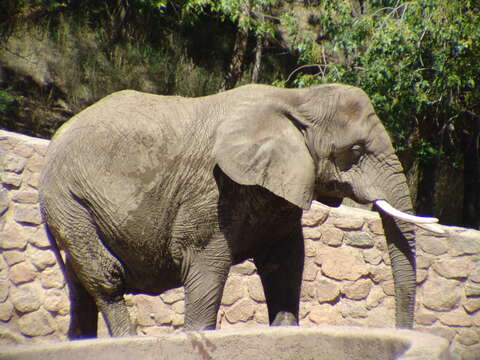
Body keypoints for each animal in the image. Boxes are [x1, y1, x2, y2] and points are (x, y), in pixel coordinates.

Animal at [39, 83, 440, 338]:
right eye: (355, 151)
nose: (401, 333)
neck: (296, 99)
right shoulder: (209, 192)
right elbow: (207, 265)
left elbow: (286, 265)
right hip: (68, 199)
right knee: (105, 277)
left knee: (79, 289)